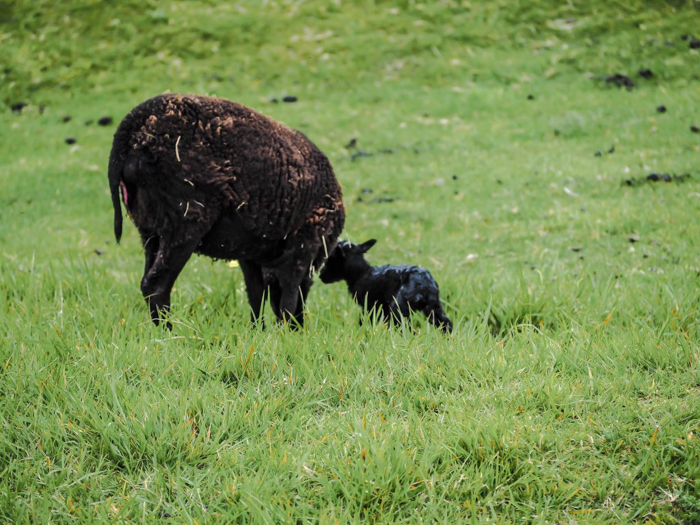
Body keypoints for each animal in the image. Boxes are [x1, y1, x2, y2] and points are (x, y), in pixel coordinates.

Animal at [108, 92, 346, 326]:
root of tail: (129, 130)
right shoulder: (304, 243)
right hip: (184, 222)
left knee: (148, 280)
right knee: (155, 285)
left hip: (150, 230)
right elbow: (288, 291)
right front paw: (286, 329)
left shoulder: (251, 253)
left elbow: (256, 294)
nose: (300, 325)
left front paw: (259, 330)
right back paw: (169, 331)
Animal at [318, 238, 454, 332]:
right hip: (433, 307)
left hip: (399, 306)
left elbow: (364, 321)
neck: (361, 274)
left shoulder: (369, 306)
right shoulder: (381, 309)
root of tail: (424, 285)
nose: (320, 276)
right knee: (446, 323)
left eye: (330, 260)